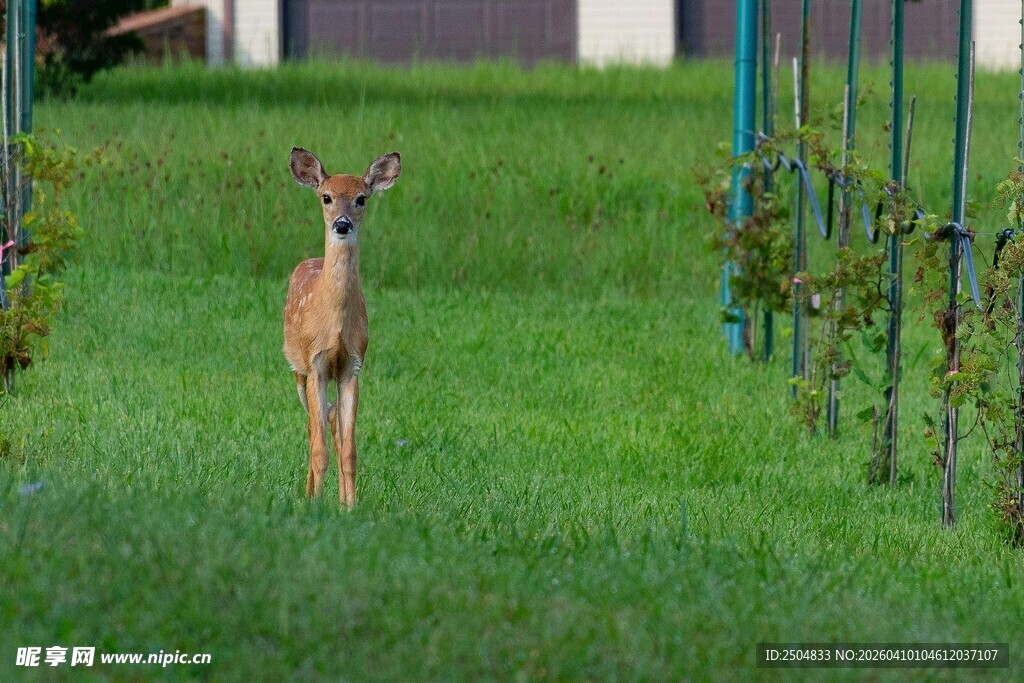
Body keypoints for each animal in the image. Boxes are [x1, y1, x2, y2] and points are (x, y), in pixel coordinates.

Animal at [283, 147, 401, 507]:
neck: (333, 325)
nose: (342, 224)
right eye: (326, 197)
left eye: (361, 198)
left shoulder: (352, 366)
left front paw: (349, 507)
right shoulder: (316, 363)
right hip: (297, 368)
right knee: (312, 428)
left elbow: (349, 451)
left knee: (332, 423)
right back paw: (308, 494)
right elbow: (319, 448)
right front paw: (316, 506)